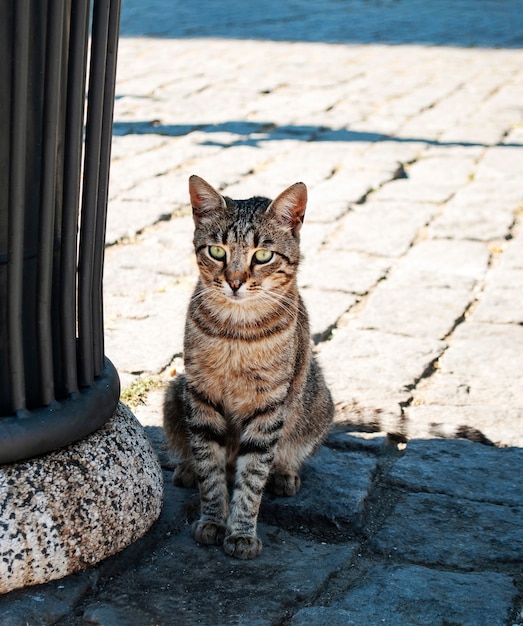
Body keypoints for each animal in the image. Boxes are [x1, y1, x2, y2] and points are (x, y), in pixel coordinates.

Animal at [164, 173, 334, 560]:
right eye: (217, 251)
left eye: (263, 255)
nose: (235, 282)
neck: (236, 332)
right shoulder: (201, 396)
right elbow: (210, 470)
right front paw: (213, 520)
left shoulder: (268, 406)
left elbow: (253, 476)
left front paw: (241, 531)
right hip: (174, 393)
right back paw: (185, 469)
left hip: (316, 402)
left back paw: (285, 474)